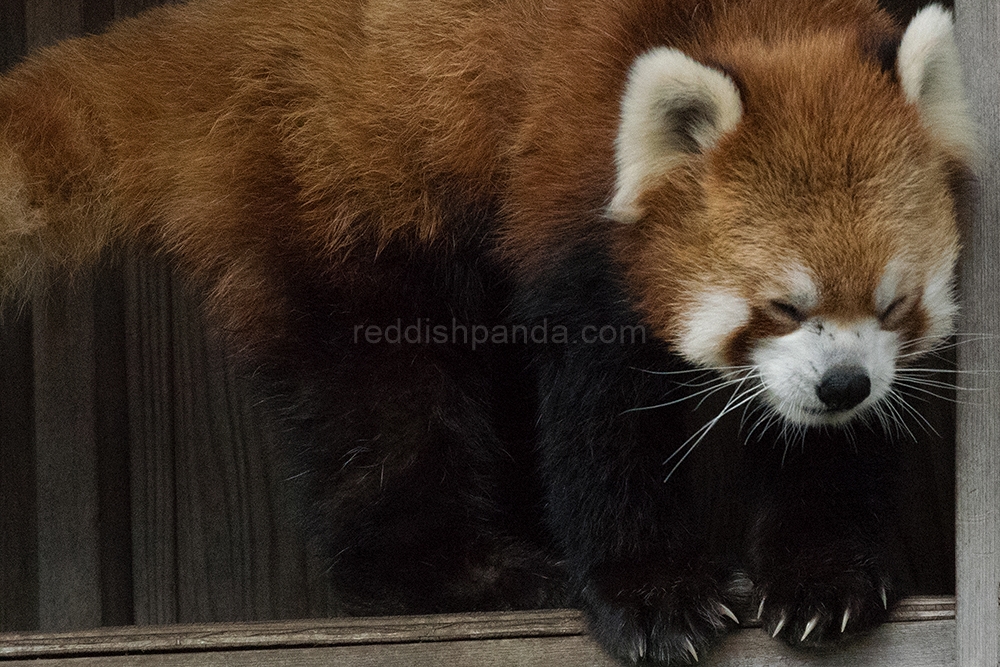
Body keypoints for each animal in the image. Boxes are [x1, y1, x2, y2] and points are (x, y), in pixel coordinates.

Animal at [0, 0, 972, 664]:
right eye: (780, 307)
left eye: (894, 305)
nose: (842, 385)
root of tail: (219, 30)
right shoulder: (570, 190)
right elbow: (598, 425)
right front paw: (652, 594)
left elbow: (830, 454)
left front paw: (824, 573)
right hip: (335, 187)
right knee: (383, 405)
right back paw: (464, 570)